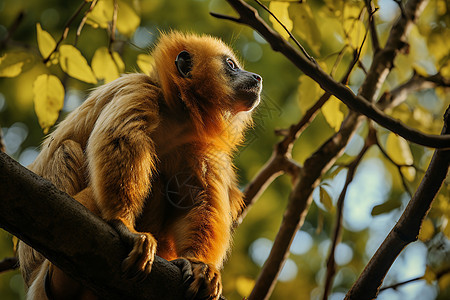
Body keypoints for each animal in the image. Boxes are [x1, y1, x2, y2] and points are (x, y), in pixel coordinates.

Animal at [17, 31, 262, 300]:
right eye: (231, 65)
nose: (256, 77)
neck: (175, 117)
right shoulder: (138, 88)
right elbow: (118, 138)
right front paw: (122, 224)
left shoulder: (197, 143)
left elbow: (197, 198)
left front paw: (197, 263)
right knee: (69, 149)